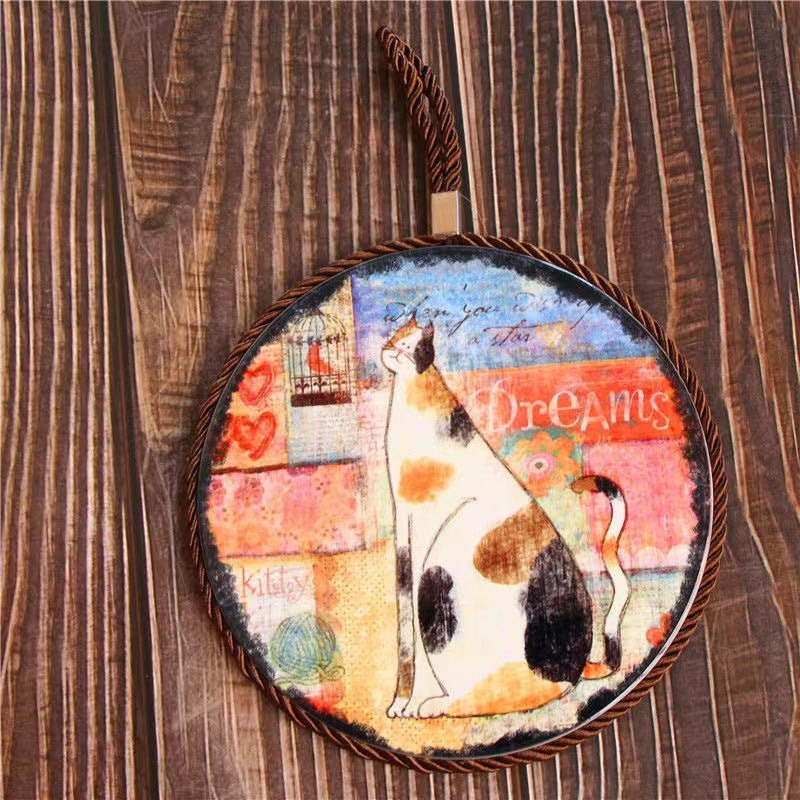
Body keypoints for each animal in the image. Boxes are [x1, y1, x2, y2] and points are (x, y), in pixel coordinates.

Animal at [381, 316, 630, 719]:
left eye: (410, 345)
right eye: (396, 337)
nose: (390, 349)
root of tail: (576, 667)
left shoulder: (423, 524)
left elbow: (414, 635)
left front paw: (413, 702)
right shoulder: (403, 523)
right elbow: (405, 631)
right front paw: (399, 702)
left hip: (439, 567)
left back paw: (438, 704)